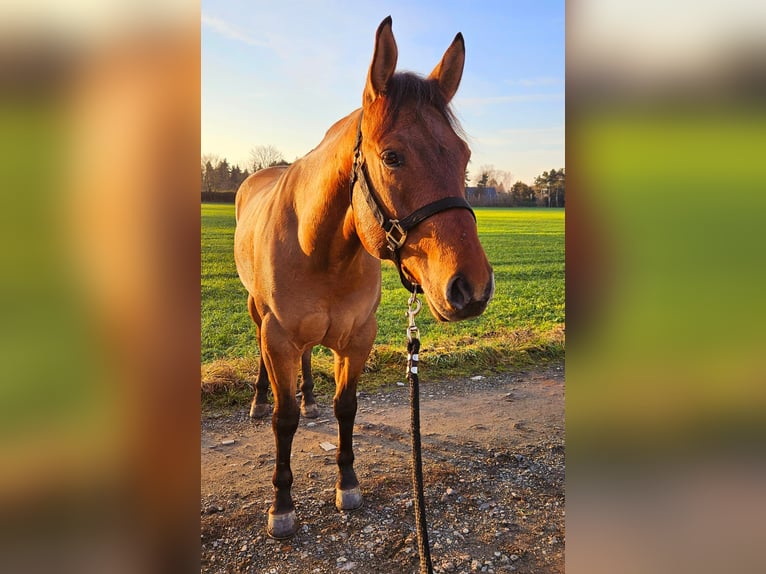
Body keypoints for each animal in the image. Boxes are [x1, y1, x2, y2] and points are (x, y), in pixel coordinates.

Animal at [234, 16, 496, 540]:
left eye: (463, 155)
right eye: (392, 156)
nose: (471, 287)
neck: (321, 250)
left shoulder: (357, 338)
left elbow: (346, 407)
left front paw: (347, 483)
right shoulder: (278, 337)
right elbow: (283, 420)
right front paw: (281, 505)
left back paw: (310, 398)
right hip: (258, 315)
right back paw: (257, 399)